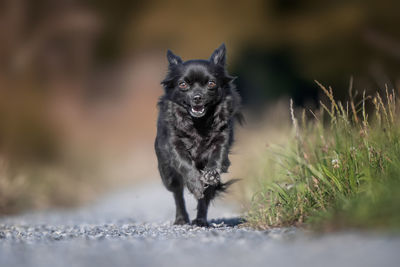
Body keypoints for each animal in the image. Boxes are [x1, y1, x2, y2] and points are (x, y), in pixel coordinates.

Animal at [155, 44, 242, 228]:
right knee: (178, 194)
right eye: (182, 84)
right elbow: (185, 164)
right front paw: (195, 183)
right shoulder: (174, 144)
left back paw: (201, 220)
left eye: (211, 83)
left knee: (206, 196)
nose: (197, 97)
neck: (199, 123)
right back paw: (181, 218)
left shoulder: (222, 139)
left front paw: (211, 173)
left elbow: (217, 156)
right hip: (168, 175)